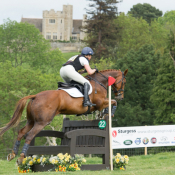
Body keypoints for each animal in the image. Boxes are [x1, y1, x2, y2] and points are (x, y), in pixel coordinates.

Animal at [0, 68, 129, 164]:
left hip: (31, 121)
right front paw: (110, 113)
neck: (99, 82)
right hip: (42, 122)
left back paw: (12, 155)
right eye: (124, 82)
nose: (121, 97)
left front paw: (103, 113)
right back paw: (21, 158)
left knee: (21, 132)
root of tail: (35, 96)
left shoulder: (100, 104)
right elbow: (113, 102)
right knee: (30, 135)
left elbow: (110, 104)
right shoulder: (100, 103)